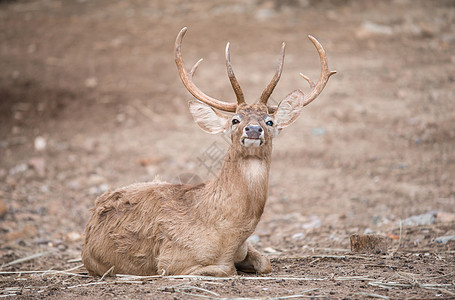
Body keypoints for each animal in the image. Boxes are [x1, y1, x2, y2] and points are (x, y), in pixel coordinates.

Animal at [82, 27, 334, 276]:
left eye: (269, 121)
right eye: (235, 119)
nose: (253, 129)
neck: (228, 234)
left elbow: (265, 263)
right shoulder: (170, 261)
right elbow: (226, 270)